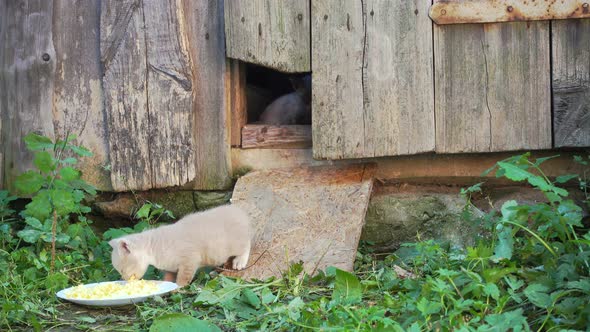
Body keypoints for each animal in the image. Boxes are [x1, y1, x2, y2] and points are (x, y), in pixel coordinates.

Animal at [110, 204, 251, 286]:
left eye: (122, 270)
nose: (123, 279)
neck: (154, 250)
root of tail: (240, 211)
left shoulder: (189, 260)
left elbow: (183, 278)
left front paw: (178, 288)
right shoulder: (170, 267)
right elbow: (168, 277)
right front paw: (165, 284)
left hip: (236, 244)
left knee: (247, 245)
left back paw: (239, 262)